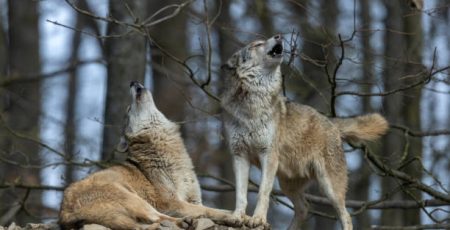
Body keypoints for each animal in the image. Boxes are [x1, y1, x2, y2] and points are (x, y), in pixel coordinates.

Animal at [60, 82, 243, 229]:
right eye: (129, 109)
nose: (133, 82)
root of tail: (64, 212)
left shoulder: (194, 199)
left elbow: (215, 209)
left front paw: (238, 216)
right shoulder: (173, 203)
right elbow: (209, 210)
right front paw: (233, 218)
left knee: (145, 224)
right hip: (134, 199)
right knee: (156, 219)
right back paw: (185, 222)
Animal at [220, 34, 388, 230]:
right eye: (258, 44)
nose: (278, 36)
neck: (252, 104)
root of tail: (331, 122)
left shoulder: (268, 155)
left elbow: (263, 192)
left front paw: (258, 219)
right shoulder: (239, 156)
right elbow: (240, 194)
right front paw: (237, 217)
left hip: (329, 186)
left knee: (345, 215)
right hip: (287, 183)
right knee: (304, 208)